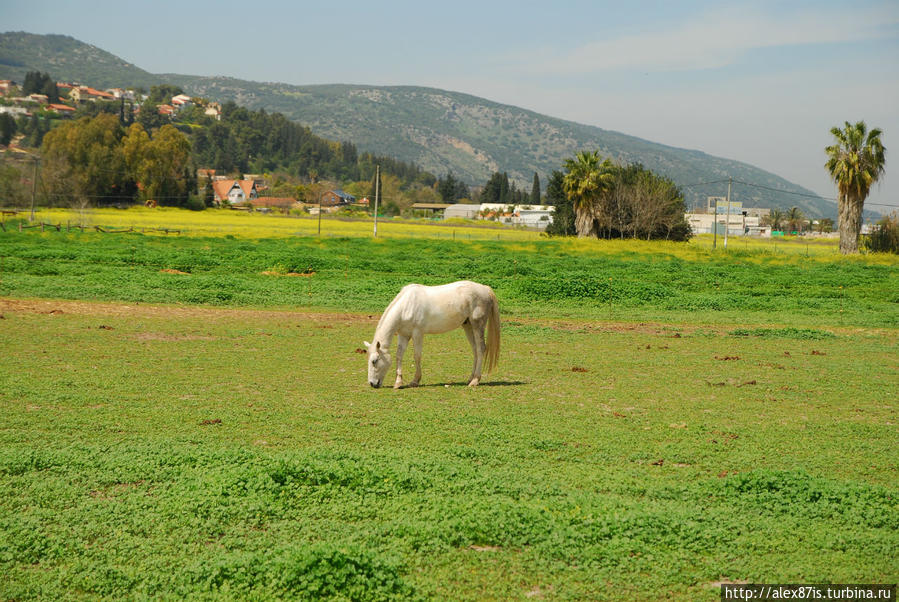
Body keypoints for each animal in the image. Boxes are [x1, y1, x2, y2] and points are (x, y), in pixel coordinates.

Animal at [370, 278, 502, 386]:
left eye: (374, 361)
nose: (372, 384)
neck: (407, 306)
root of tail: (485, 289)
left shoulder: (417, 333)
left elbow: (417, 355)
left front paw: (415, 381)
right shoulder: (403, 335)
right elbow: (399, 355)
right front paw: (398, 382)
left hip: (477, 325)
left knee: (480, 349)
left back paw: (475, 380)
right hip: (468, 326)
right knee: (475, 350)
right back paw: (470, 378)